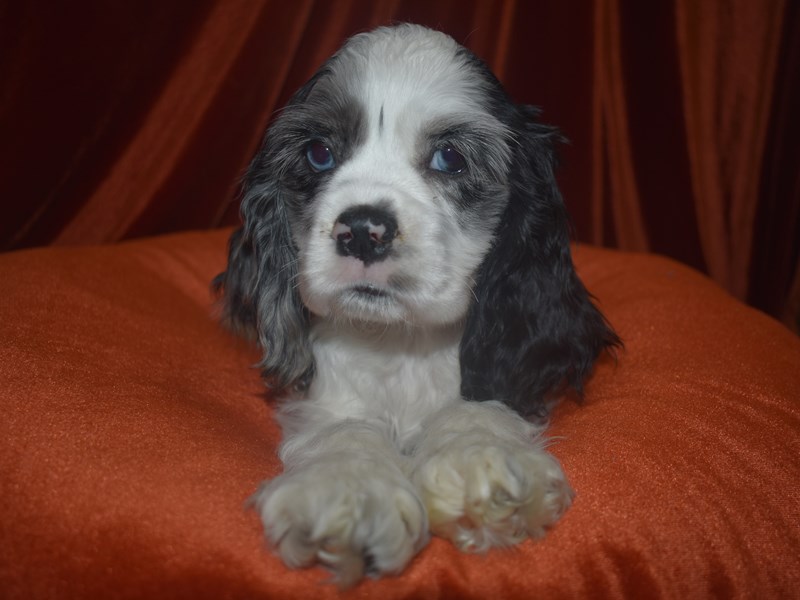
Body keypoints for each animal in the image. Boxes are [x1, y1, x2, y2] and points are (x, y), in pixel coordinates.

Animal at [212, 22, 620, 584]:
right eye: (319, 152)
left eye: (451, 158)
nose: (363, 230)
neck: (398, 344)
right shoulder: (326, 394)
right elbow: (344, 425)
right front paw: (347, 490)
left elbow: (480, 400)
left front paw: (483, 463)